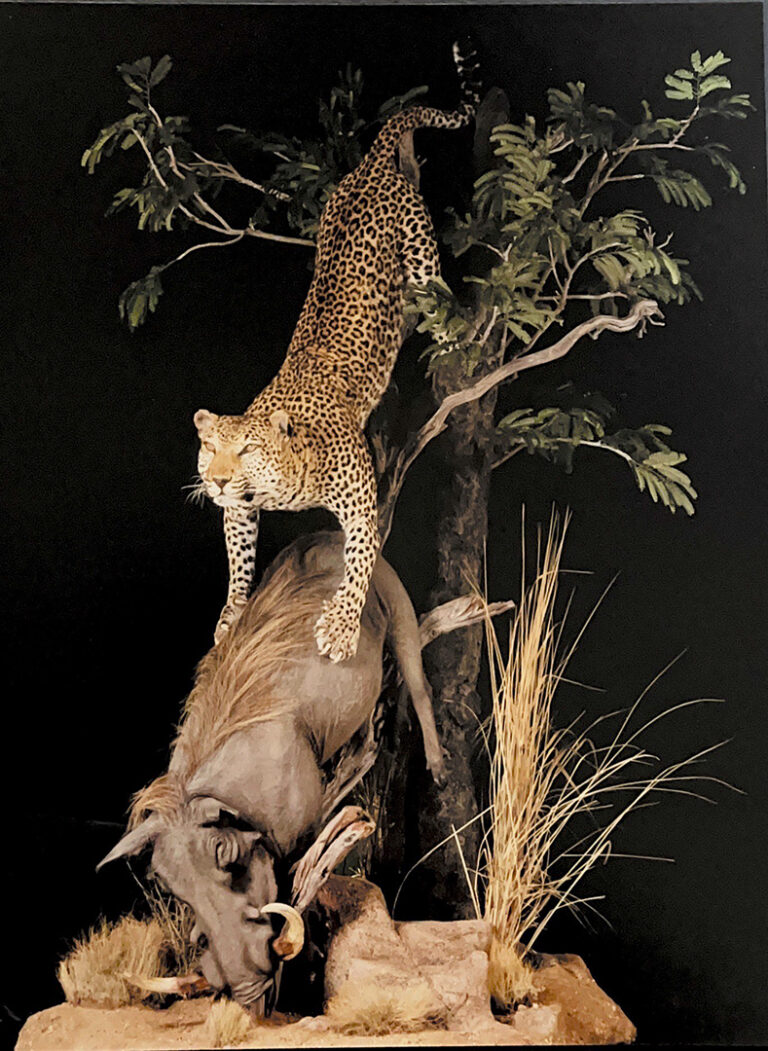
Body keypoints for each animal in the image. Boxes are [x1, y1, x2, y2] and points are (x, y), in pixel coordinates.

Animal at [193, 47, 481, 664]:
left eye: (246, 450)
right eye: (210, 450)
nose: (219, 481)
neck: (286, 478)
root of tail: (371, 165)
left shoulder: (361, 500)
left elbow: (362, 561)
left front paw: (343, 626)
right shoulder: (241, 510)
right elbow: (238, 561)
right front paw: (230, 614)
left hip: (421, 256)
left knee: (440, 299)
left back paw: (455, 344)